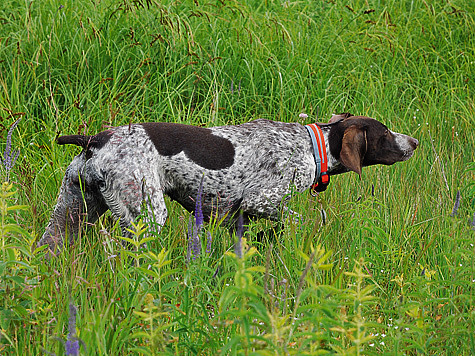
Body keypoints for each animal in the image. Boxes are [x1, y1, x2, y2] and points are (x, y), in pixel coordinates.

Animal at [40, 113, 420, 253]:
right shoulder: (261, 201)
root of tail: (95, 140)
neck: (312, 146)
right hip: (146, 216)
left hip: (67, 217)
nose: (414, 142)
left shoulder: (233, 216)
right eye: (385, 133)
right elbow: (296, 219)